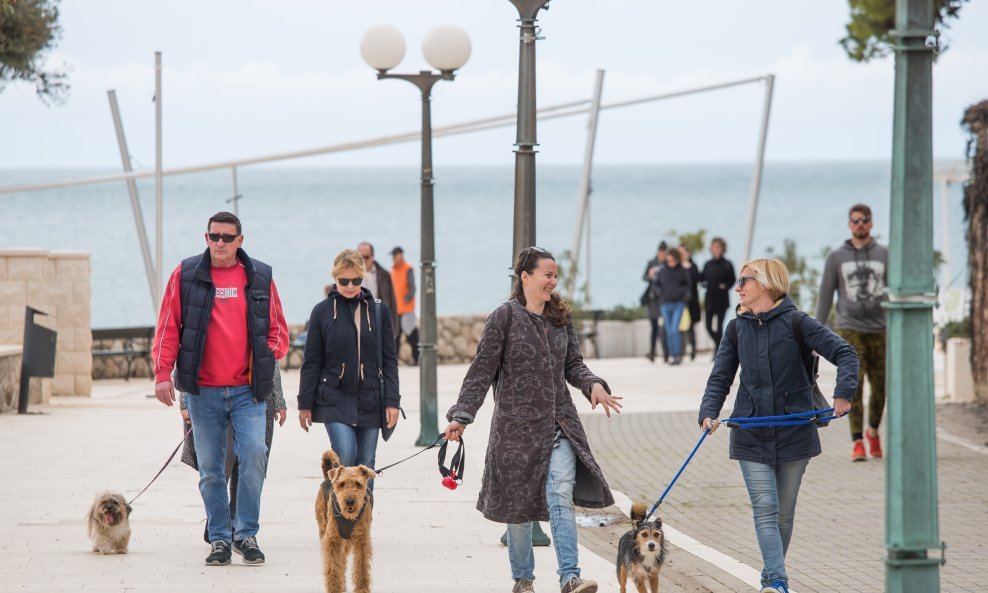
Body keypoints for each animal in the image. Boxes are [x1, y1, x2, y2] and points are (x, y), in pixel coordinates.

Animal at [314, 448, 376, 592]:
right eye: (342, 484)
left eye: (358, 484)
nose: (350, 501)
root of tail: (327, 478)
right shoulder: (332, 539)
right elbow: (333, 566)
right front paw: (334, 588)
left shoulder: (362, 540)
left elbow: (361, 566)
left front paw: (362, 589)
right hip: (325, 528)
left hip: (347, 541)